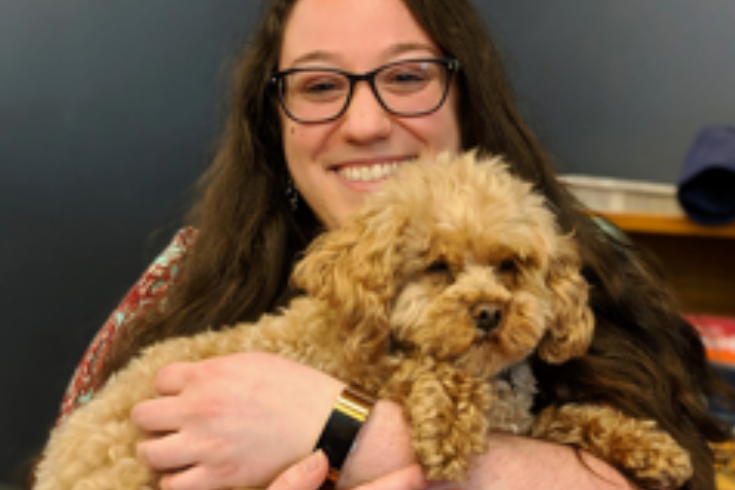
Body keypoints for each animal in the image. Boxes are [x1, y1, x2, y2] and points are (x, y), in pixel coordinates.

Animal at [33, 153, 688, 490]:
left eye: (510, 265)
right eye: (437, 267)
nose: (489, 313)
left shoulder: (524, 424)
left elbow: (573, 417)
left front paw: (653, 448)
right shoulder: (362, 362)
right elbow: (421, 373)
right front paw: (450, 426)